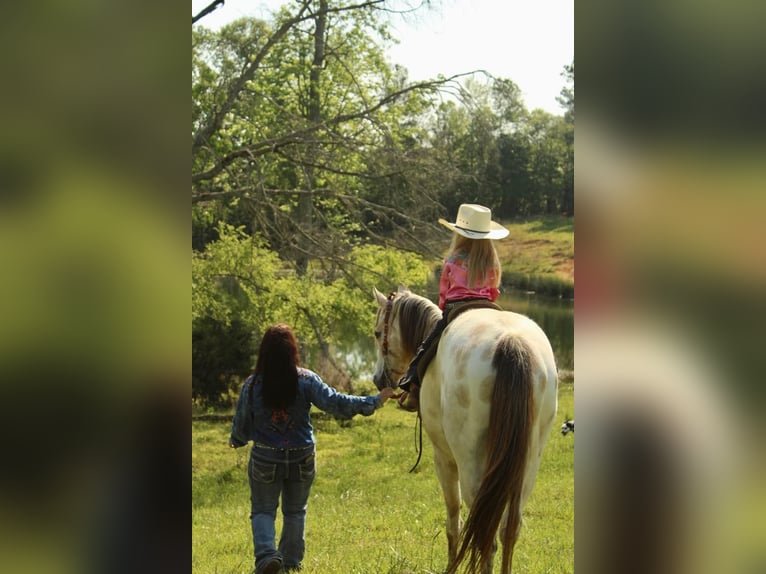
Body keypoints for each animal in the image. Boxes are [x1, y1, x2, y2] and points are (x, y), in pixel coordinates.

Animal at [372, 288, 560, 574]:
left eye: (376, 333)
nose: (377, 379)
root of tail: (512, 343)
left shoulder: (443, 459)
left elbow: (453, 520)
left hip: (471, 465)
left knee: (485, 533)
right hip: (527, 466)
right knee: (509, 530)